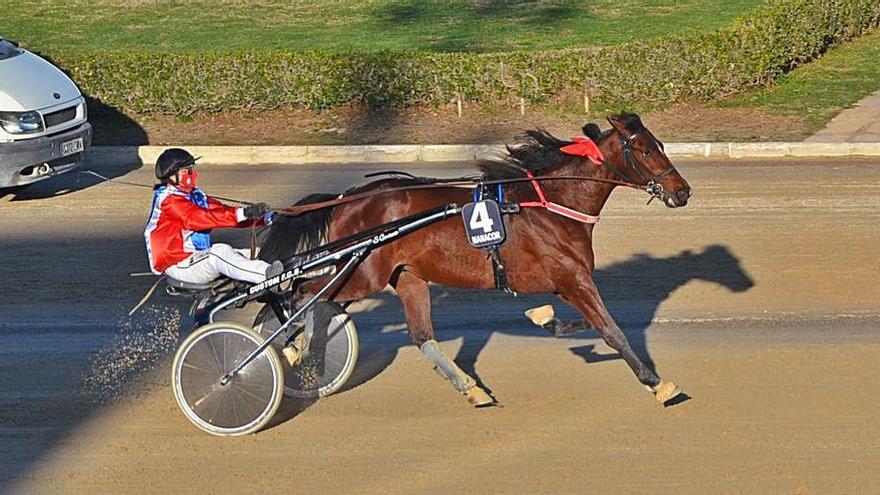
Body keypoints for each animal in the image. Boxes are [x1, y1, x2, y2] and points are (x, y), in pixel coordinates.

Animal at [262, 112, 696, 406]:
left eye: (661, 145)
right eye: (645, 149)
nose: (683, 191)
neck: (552, 204)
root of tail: (346, 198)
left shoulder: (564, 282)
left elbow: (578, 324)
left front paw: (543, 317)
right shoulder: (574, 279)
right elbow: (611, 330)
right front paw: (657, 383)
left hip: (406, 276)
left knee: (421, 336)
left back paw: (471, 389)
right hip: (363, 273)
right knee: (302, 294)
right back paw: (290, 346)